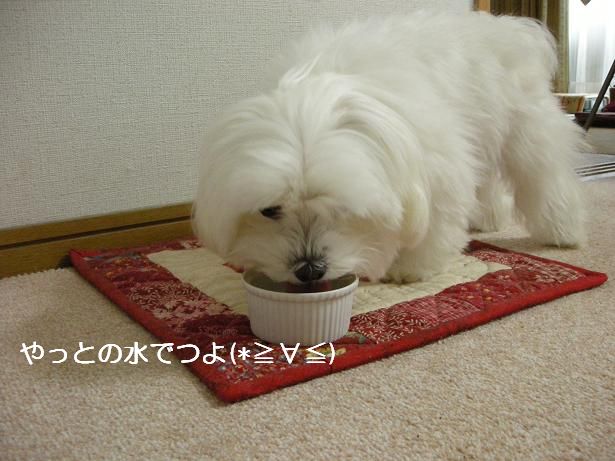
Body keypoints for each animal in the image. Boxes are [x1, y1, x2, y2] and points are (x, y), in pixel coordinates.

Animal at [193, 12, 586, 285]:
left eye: (343, 209)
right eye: (269, 210)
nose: (309, 269)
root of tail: (514, 28)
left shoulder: (433, 169)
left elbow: (431, 226)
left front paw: (408, 268)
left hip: (527, 132)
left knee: (546, 179)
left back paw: (563, 232)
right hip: (482, 132)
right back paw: (488, 219)